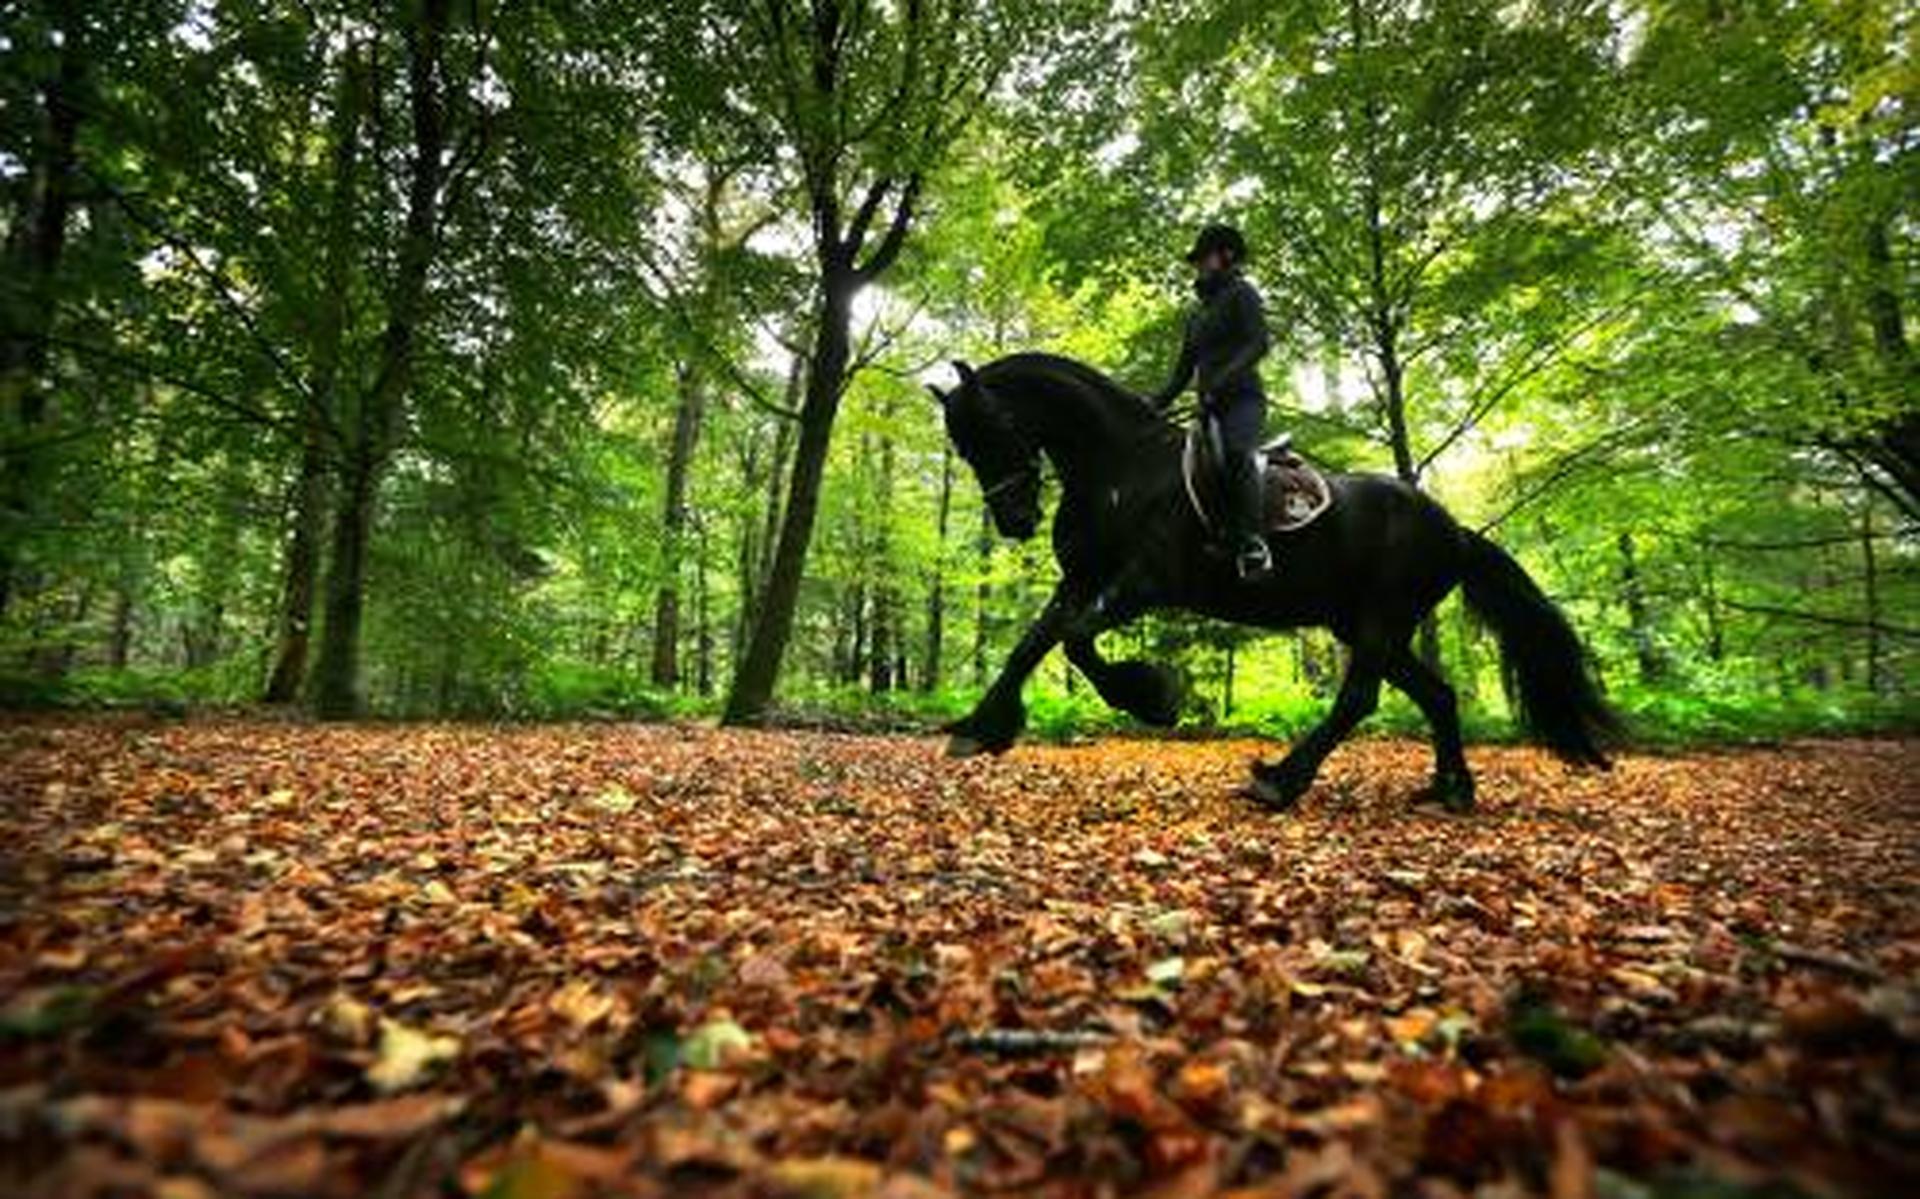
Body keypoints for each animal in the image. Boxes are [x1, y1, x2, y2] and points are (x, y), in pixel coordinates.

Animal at [927, 351, 1618, 811]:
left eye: (992, 428)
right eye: (963, 446)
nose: (1015, 522)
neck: (1121, 469)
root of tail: (1454, 529)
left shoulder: (1145, 583)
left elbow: (1075, 642)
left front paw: (1153, 698)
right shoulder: (1080, 579)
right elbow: (1033, 645)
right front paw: (978, 728)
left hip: (1381, 619)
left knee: (1358, 699)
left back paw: (1281, 780)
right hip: (1368, 625)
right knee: (1437, 696)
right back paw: (1450, 789)